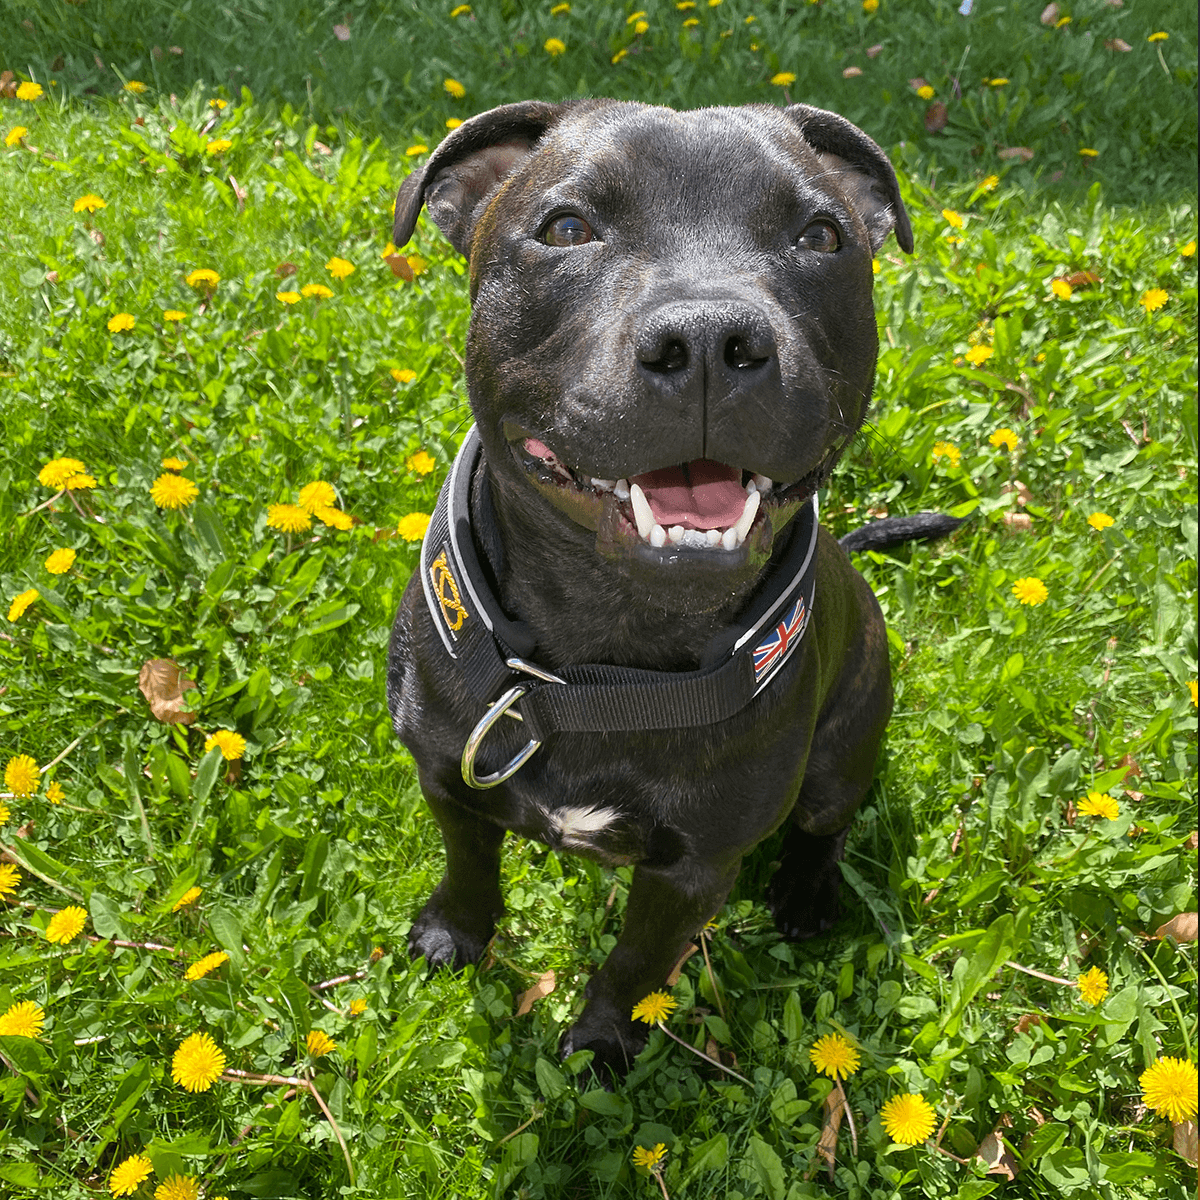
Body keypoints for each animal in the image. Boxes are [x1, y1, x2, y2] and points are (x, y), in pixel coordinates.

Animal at [388, 98, 960, 1084]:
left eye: (821, 235)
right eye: (566, 228)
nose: (707, 343)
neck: (600, 668)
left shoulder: (696, 869)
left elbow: (636, 960)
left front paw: (602, 1044)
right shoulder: (446, 776)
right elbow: (470, 868)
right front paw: (454, 935)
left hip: (846, 749)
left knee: (828, 824)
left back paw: (807, 895)